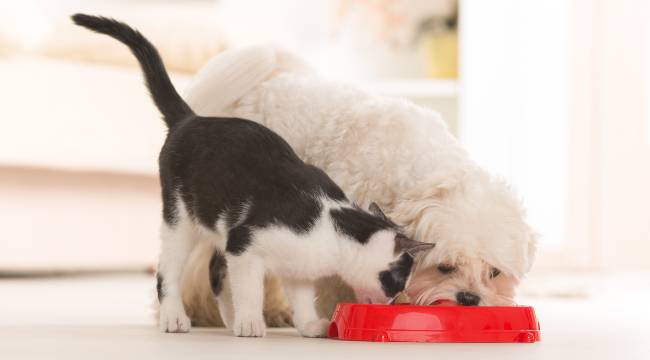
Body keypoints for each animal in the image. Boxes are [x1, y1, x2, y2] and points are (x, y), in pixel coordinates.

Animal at [73, 14, 432, 338]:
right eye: (399, 280)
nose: (396, 301)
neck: (331, 227)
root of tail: (191, 118)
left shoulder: (296, 268)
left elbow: (301, 298)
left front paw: (308, 326)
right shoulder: (244, 245)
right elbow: (249, 289)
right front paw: (251, 323)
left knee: (215, 272)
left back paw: (228, 320)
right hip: (180, 218)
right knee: (168, 272)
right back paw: (177, 318)